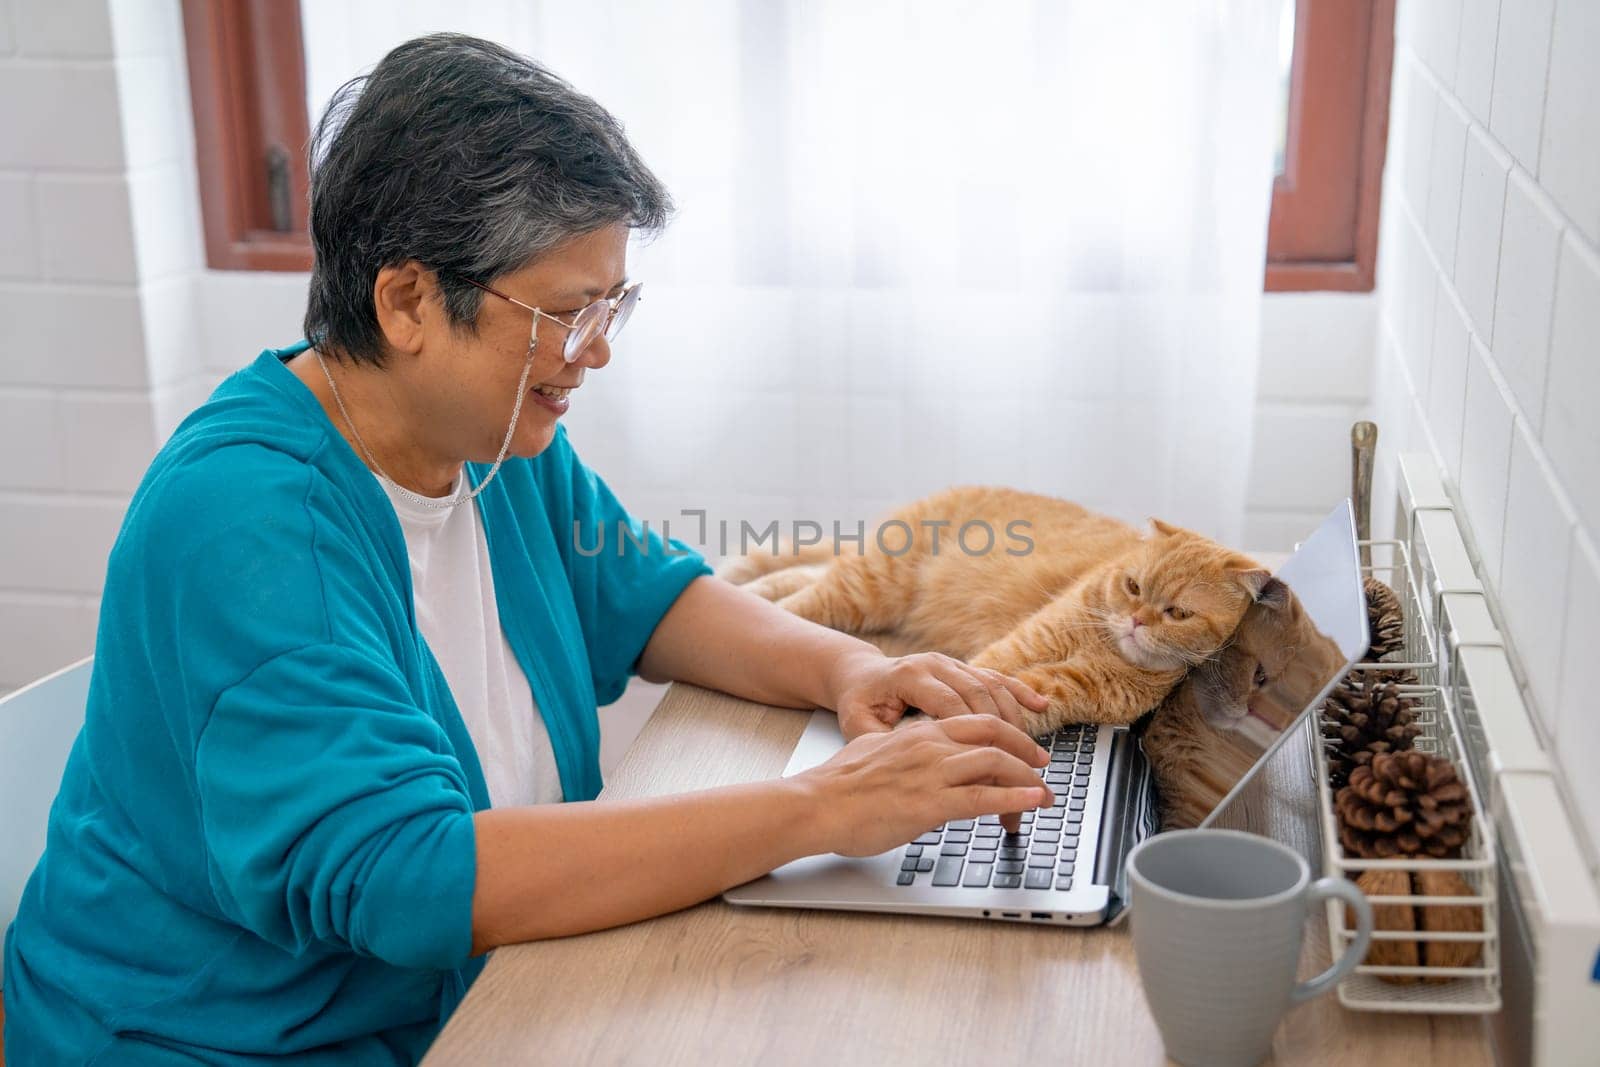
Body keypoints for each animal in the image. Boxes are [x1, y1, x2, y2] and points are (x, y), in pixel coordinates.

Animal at [723, 489, 1260, 735]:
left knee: (804, 575)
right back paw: (745, 591)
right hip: (870, 587)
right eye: (1133, 587)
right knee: (802, 595)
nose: (1136, 620)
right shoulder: (1023, 645)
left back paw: (745, 585)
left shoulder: (1059, 690)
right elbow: (978, 680)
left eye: (1177, 614)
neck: (1105, 647)